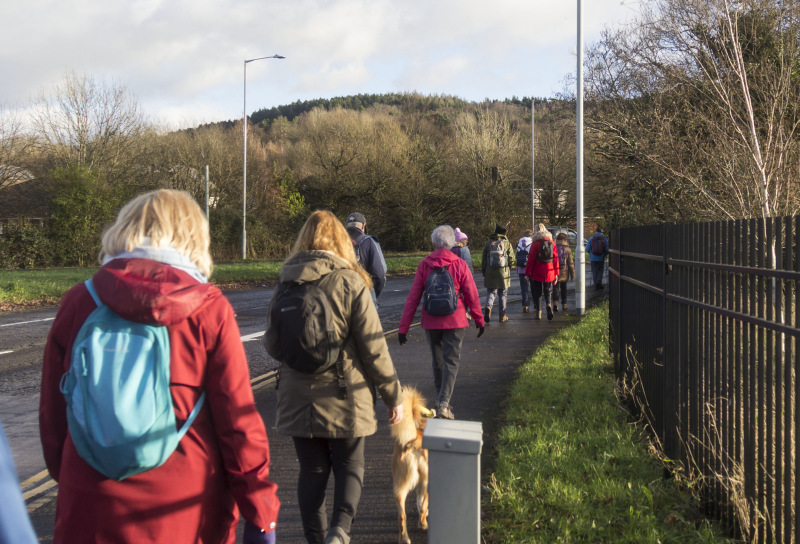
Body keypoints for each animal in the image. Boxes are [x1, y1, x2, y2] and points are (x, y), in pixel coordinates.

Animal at [390, 386, 434, 544]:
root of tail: (414, 440)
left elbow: (419, 500)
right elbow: (422, 503)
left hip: (399, 485)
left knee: (401, 516)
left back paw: (404, 538)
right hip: (426, 480)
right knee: (423, 507)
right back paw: (423, 524)